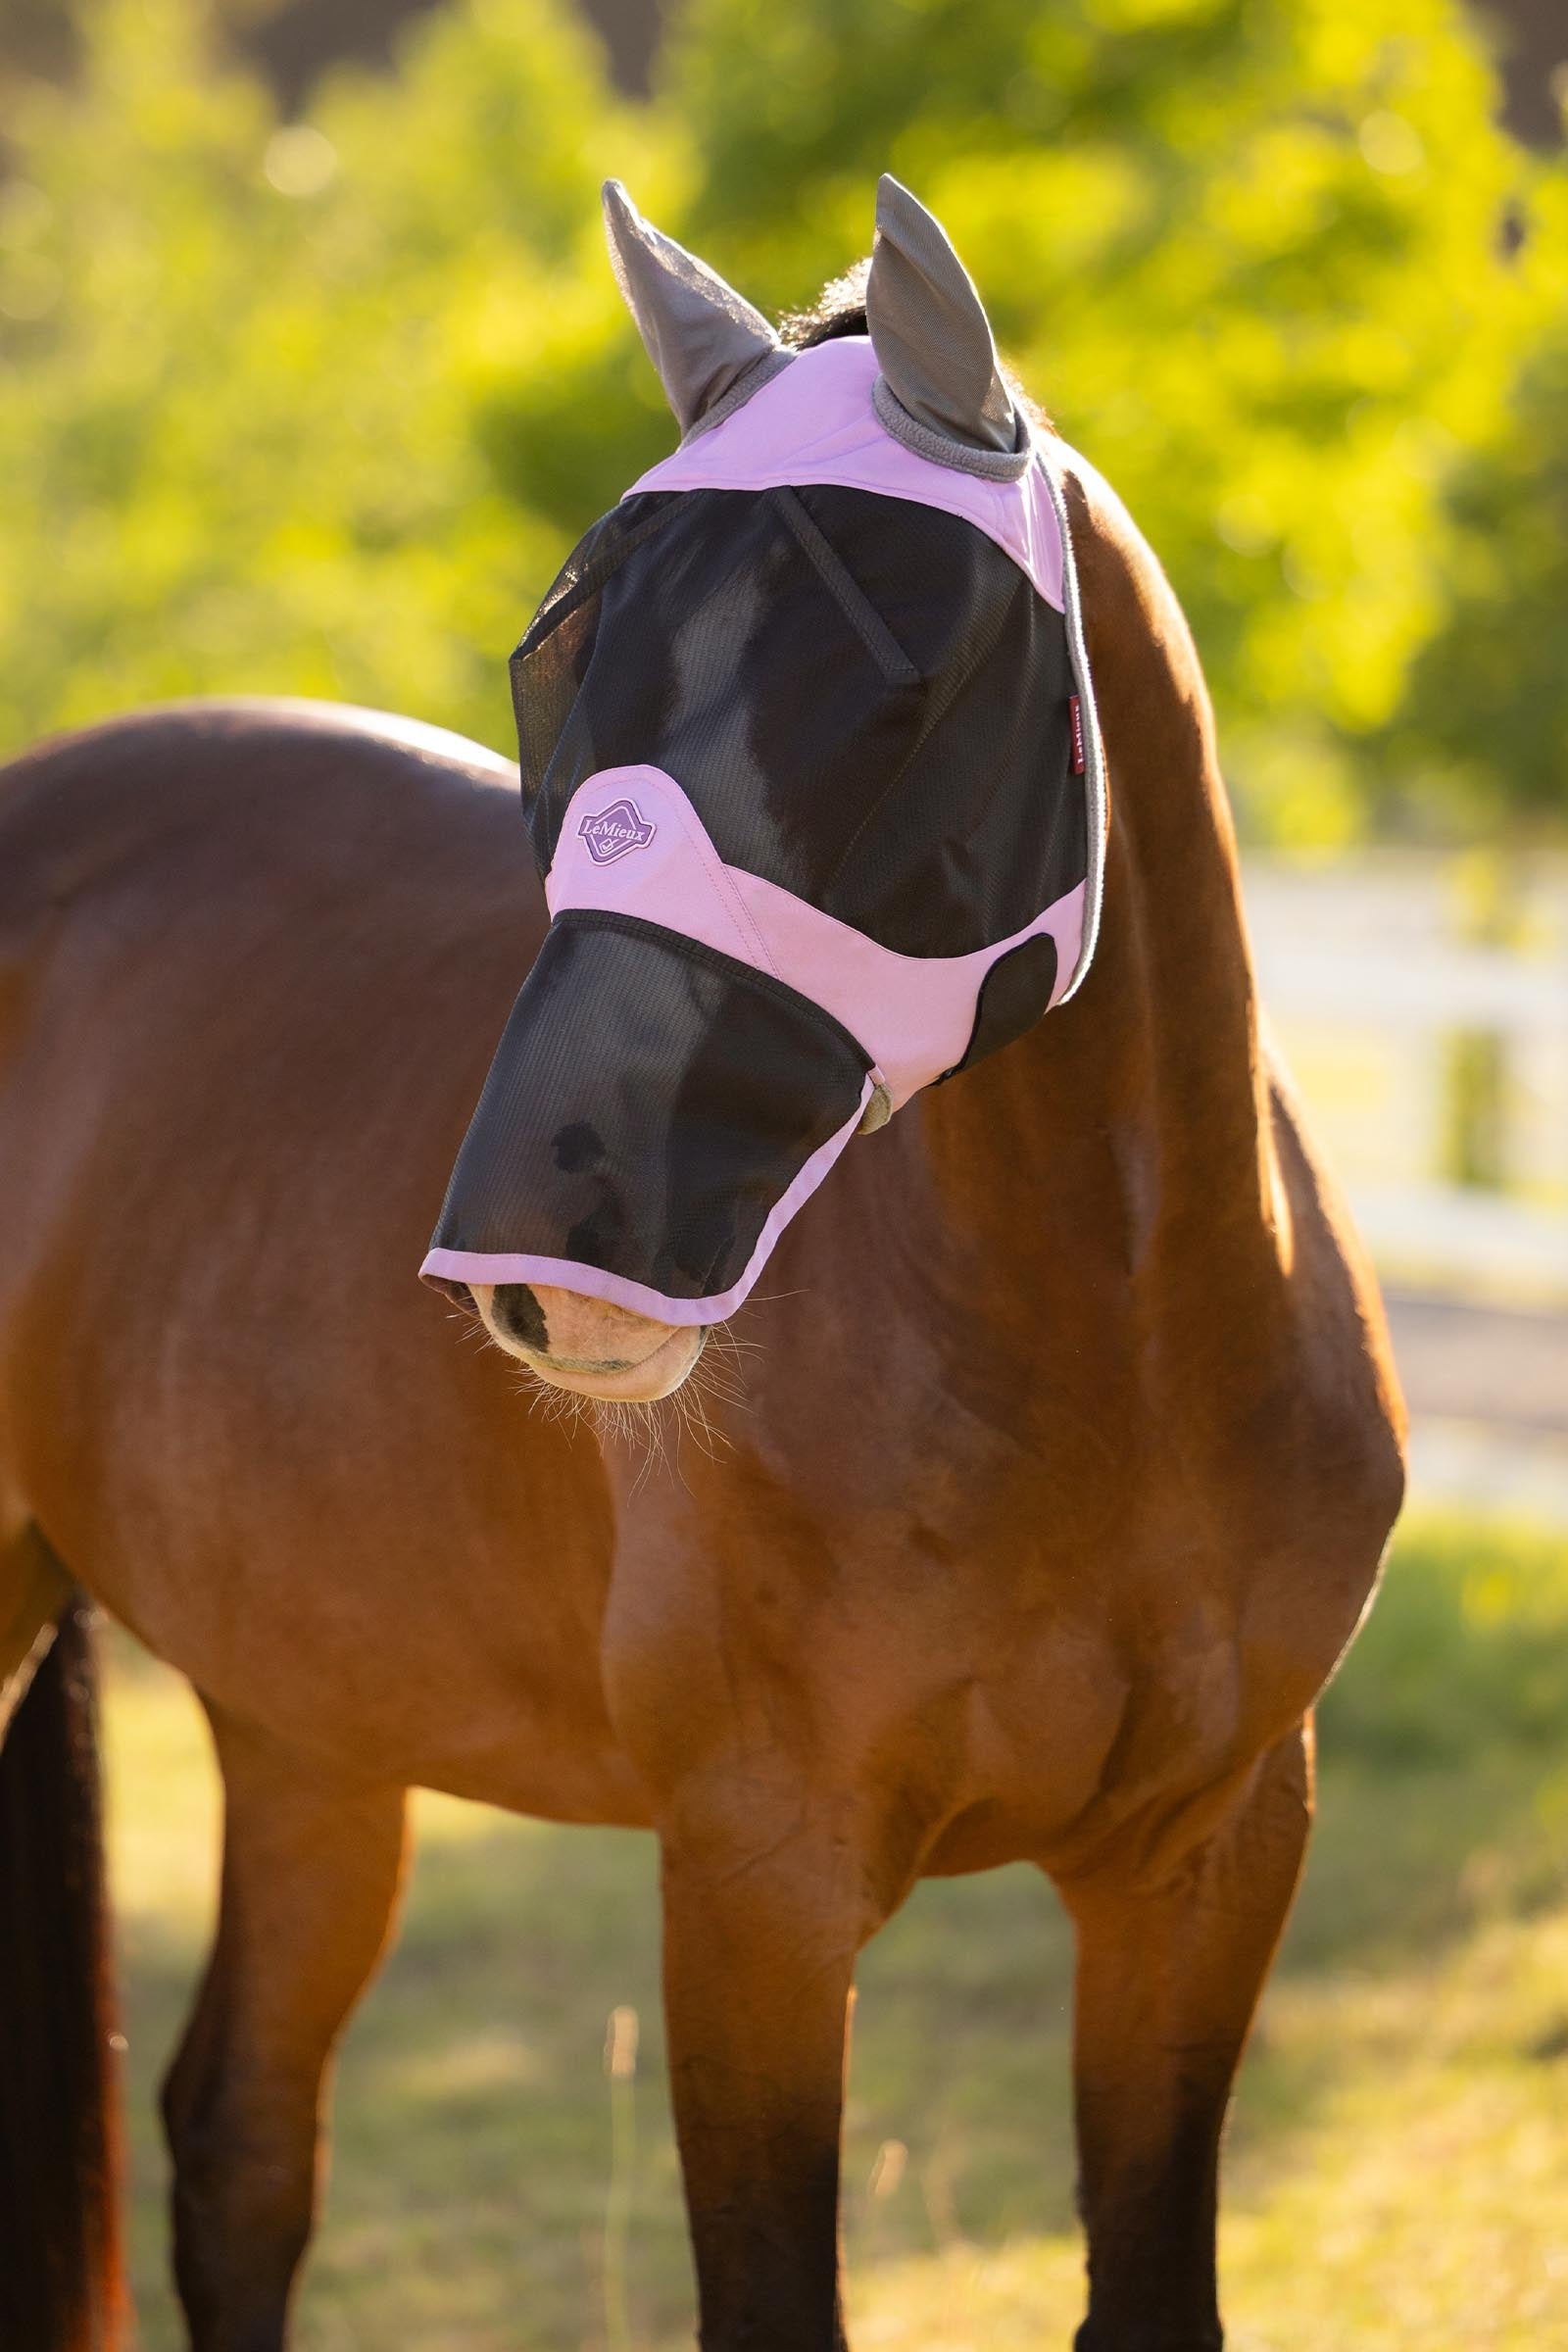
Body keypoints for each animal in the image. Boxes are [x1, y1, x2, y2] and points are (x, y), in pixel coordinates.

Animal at [0, 178, 1404, 2352]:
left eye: (908, 679)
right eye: (554, 653)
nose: (541, 1257)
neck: (1117, 1348)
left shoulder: (1213, 1857)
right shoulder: (757, 1882)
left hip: (307, 1715)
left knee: (239, 2143)